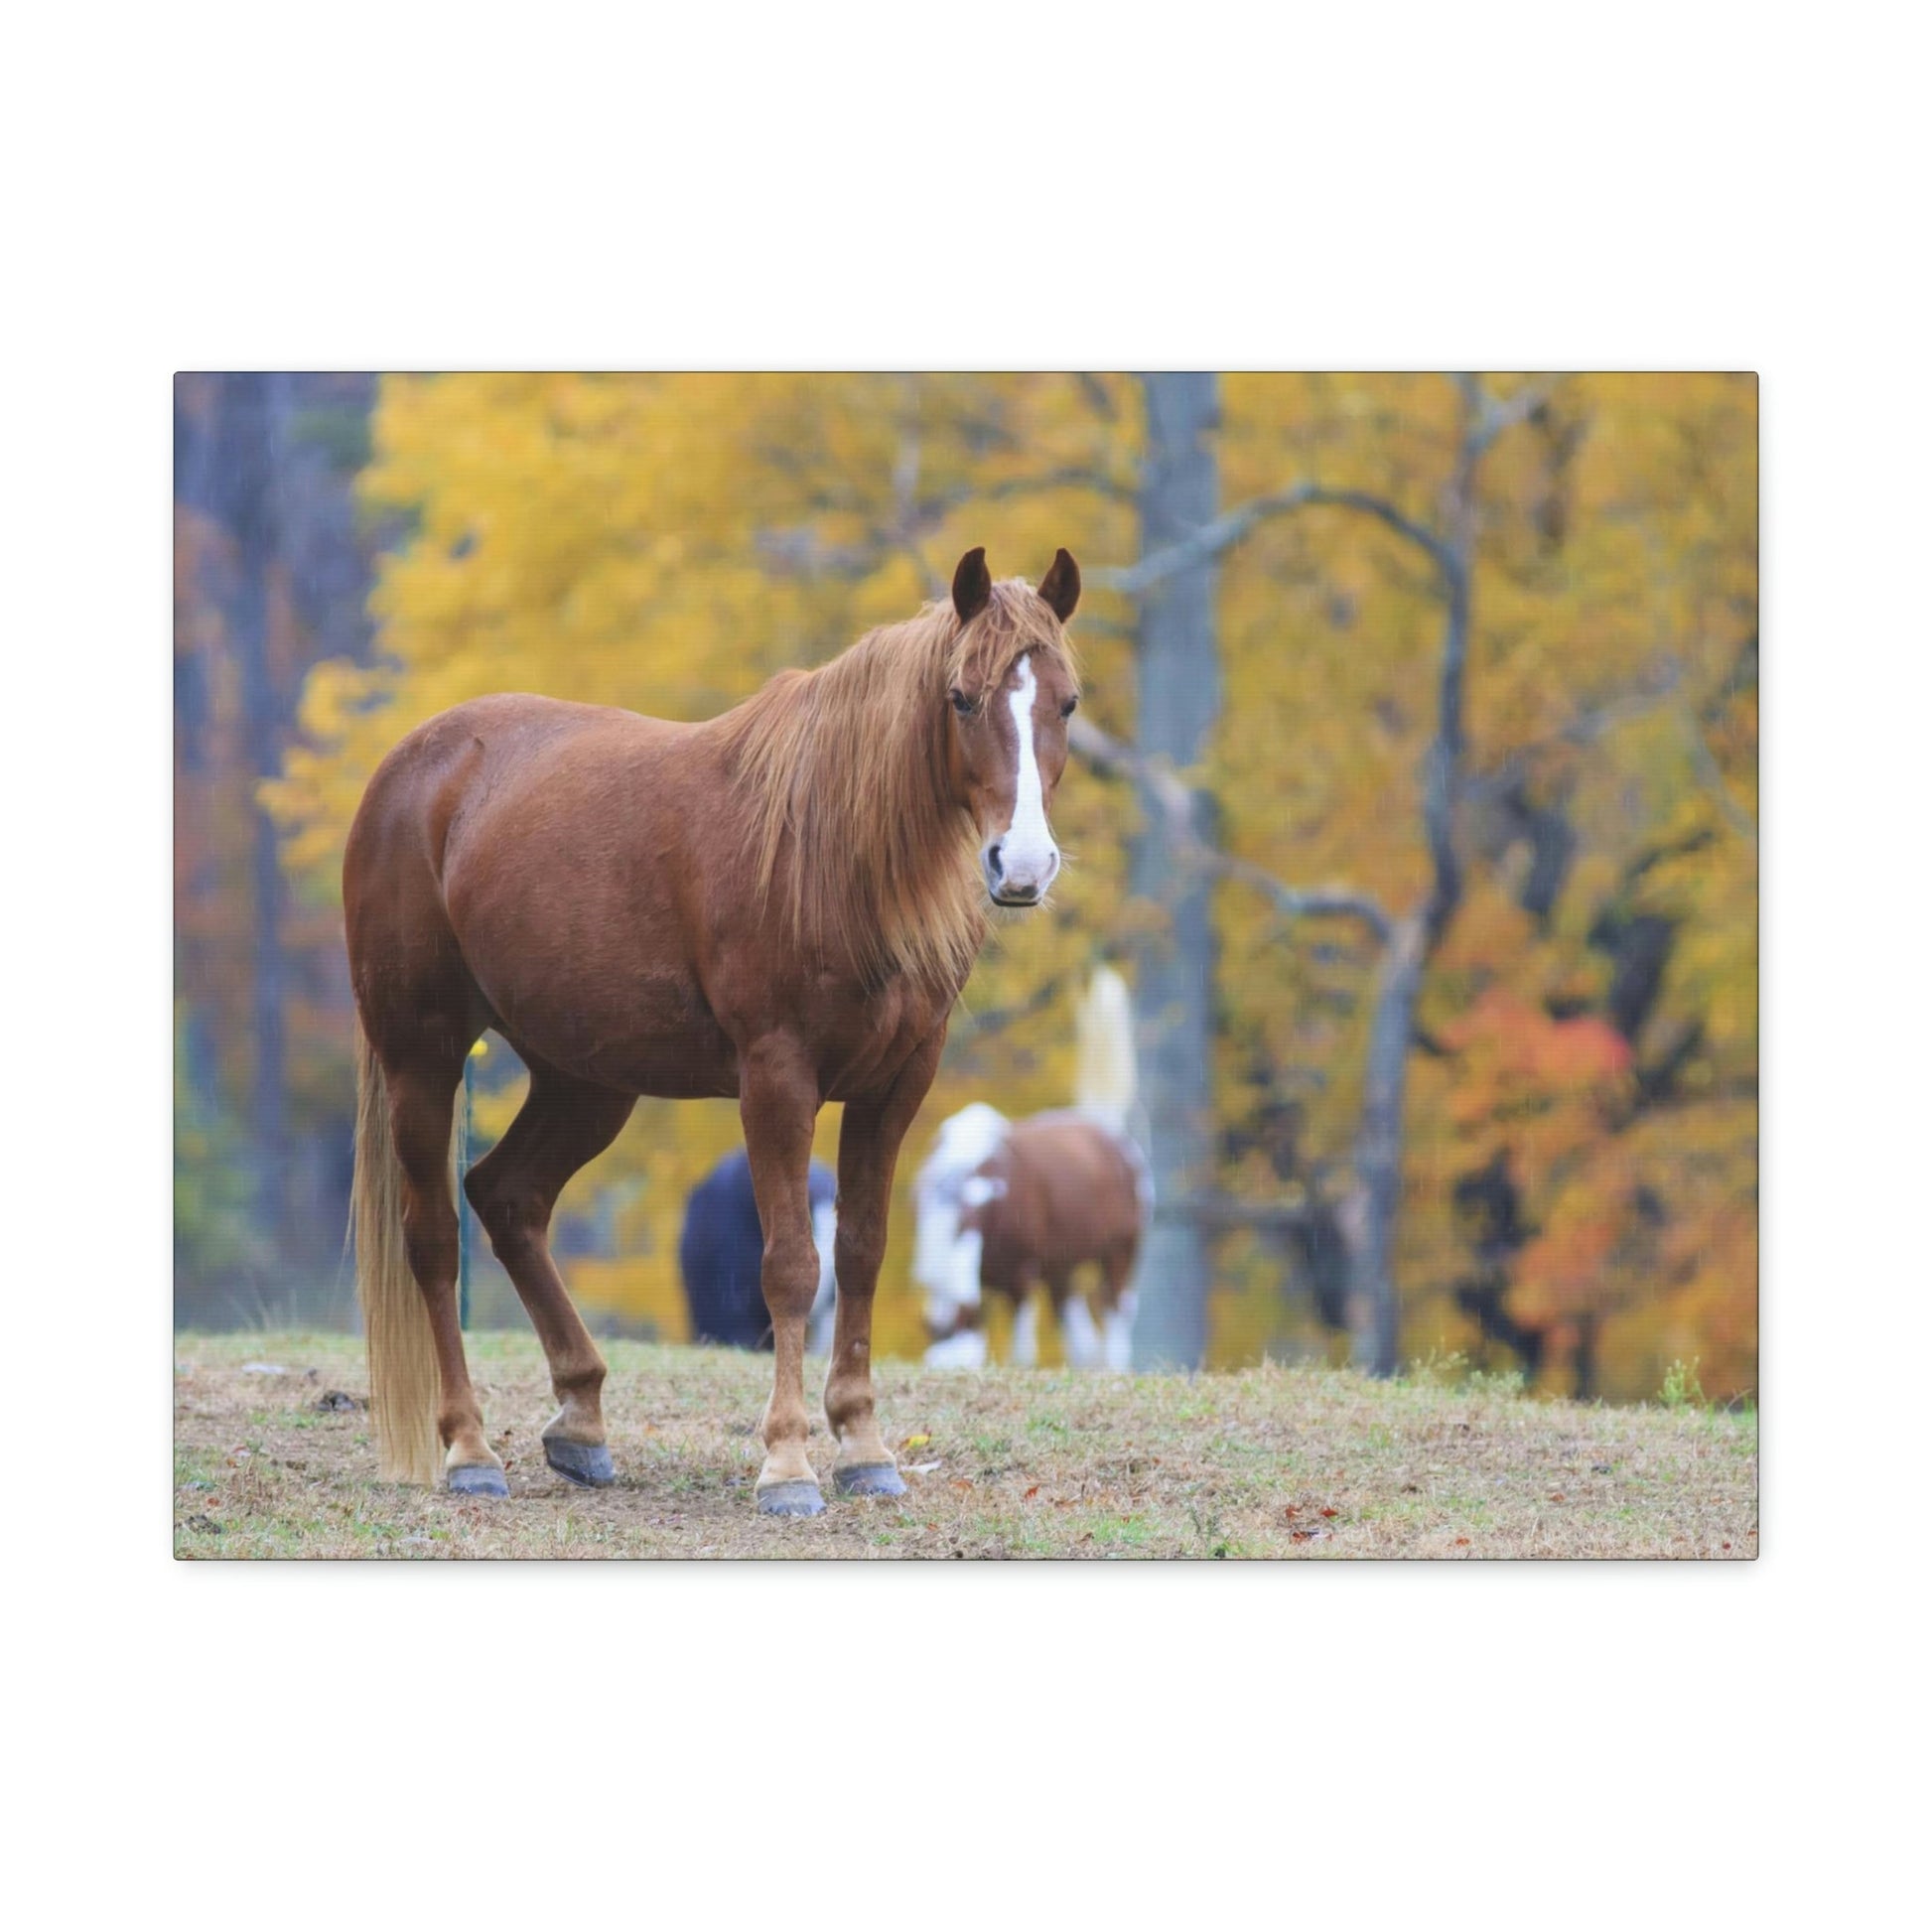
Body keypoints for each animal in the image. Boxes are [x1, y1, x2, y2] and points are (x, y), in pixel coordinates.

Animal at [912, 969, 1152, 1370]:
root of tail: (1108, 1128)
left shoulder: (1023, 1275)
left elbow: (1022, 1350)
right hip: (1062, 1268)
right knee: (1079, 1329)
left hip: (1121, 1249)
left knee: (1117, 1307)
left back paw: (1117, 1365)